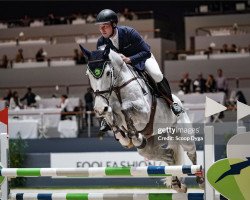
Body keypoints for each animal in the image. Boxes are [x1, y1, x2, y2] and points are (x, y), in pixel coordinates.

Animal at [81, 45, 202, 192]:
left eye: (108, 73)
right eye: (88, 75)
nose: (99, 108)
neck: (117, 88)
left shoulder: (144, 111)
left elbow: (125, 107)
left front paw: (133, 136)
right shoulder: (113, 112)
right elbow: (111, 115)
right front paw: (125, 138)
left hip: (183, 135)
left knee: (191, 153)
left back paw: (200, 181)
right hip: (150, 144)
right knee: (168, 155)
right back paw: (176, 184)